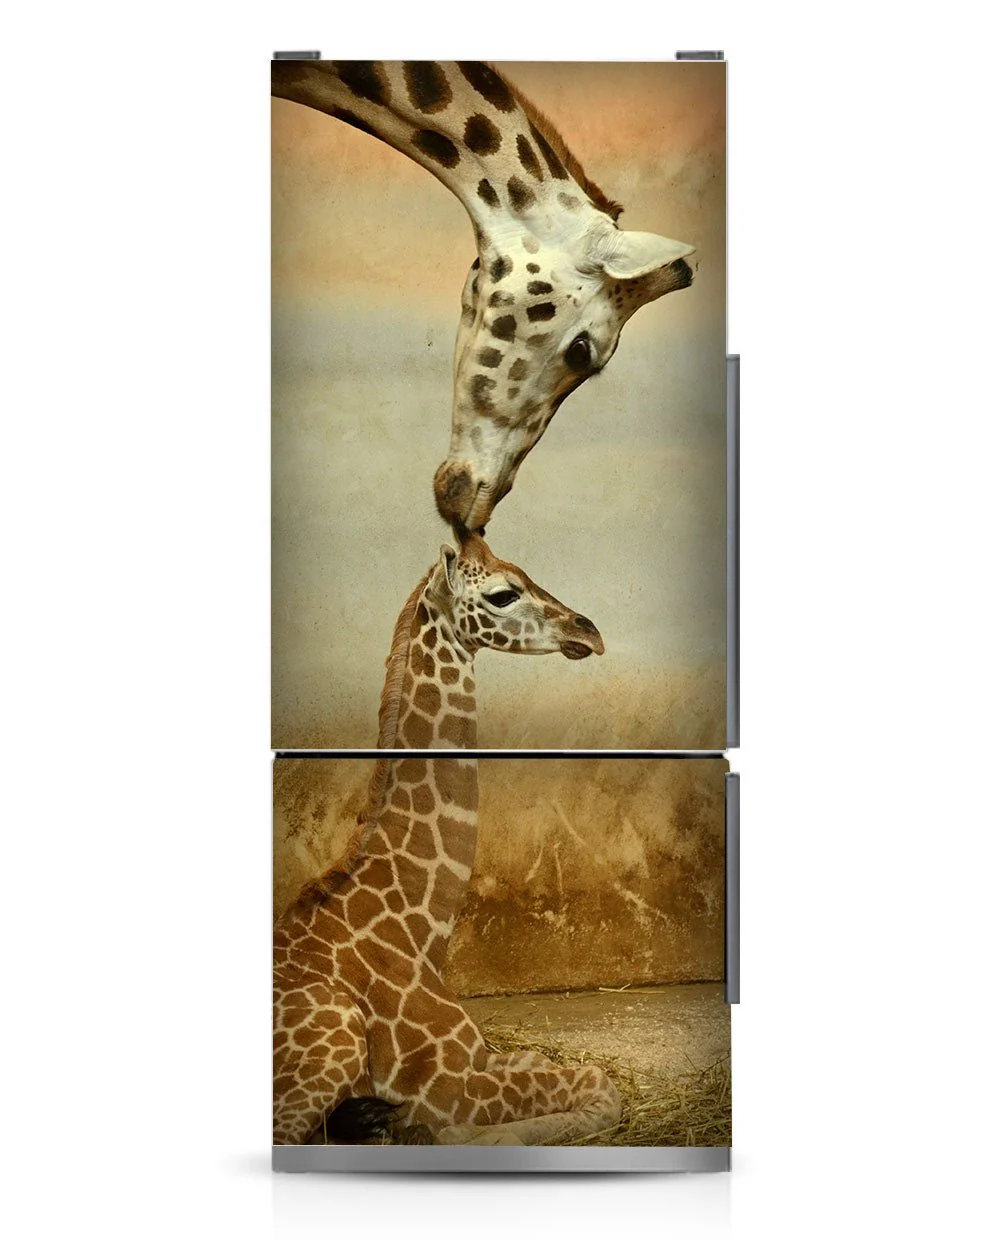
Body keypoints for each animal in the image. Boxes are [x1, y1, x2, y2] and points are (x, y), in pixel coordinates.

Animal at [273, 534, 621, 1146]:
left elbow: (556, 1067)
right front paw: (473, 1138)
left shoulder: (480, 1056)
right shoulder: (447, 1084)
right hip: (330, 1048)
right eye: (503, 592)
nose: (590, 632)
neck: (420, 922)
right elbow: (601, 1086)